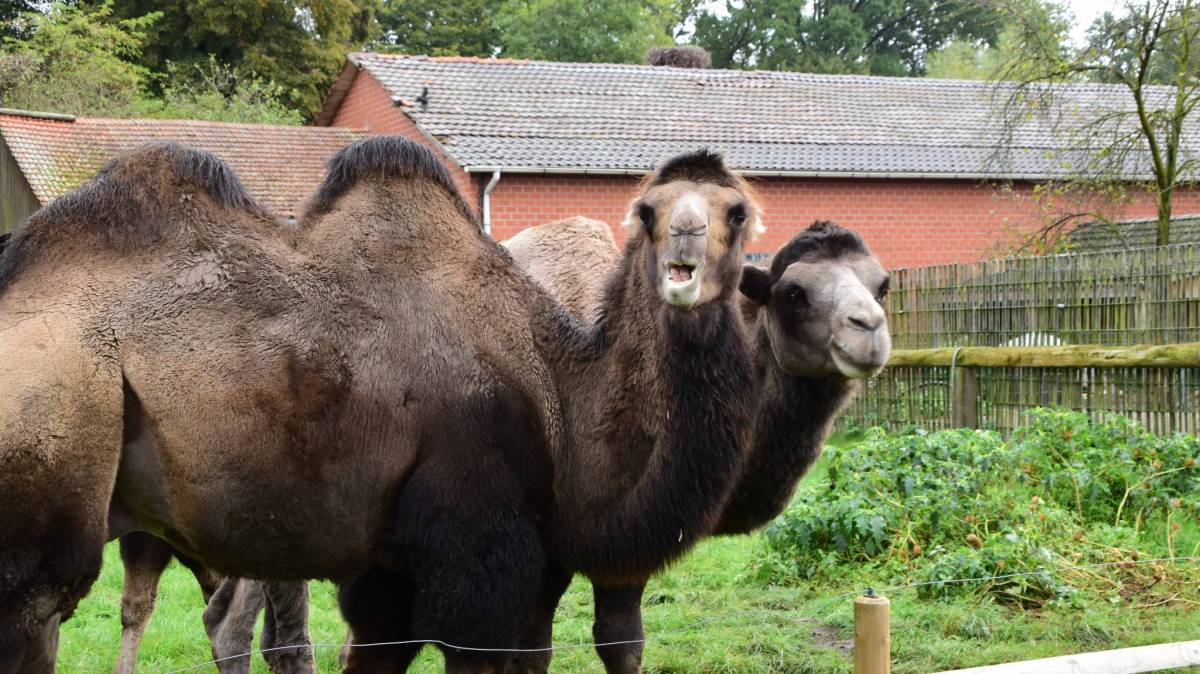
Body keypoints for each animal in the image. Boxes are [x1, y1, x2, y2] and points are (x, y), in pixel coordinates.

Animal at [0, 139, 758, 666]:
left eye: (737, 210)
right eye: (650, 211)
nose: (686, 245)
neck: (559, 397)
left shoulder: (389, 575)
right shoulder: (476, 563)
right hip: (47, 466)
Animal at [504, 218, 892, 666]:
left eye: (882, 286)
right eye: (793, 294)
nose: (869, 329)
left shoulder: (635, 531)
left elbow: (621, 640)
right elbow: (531, 650)